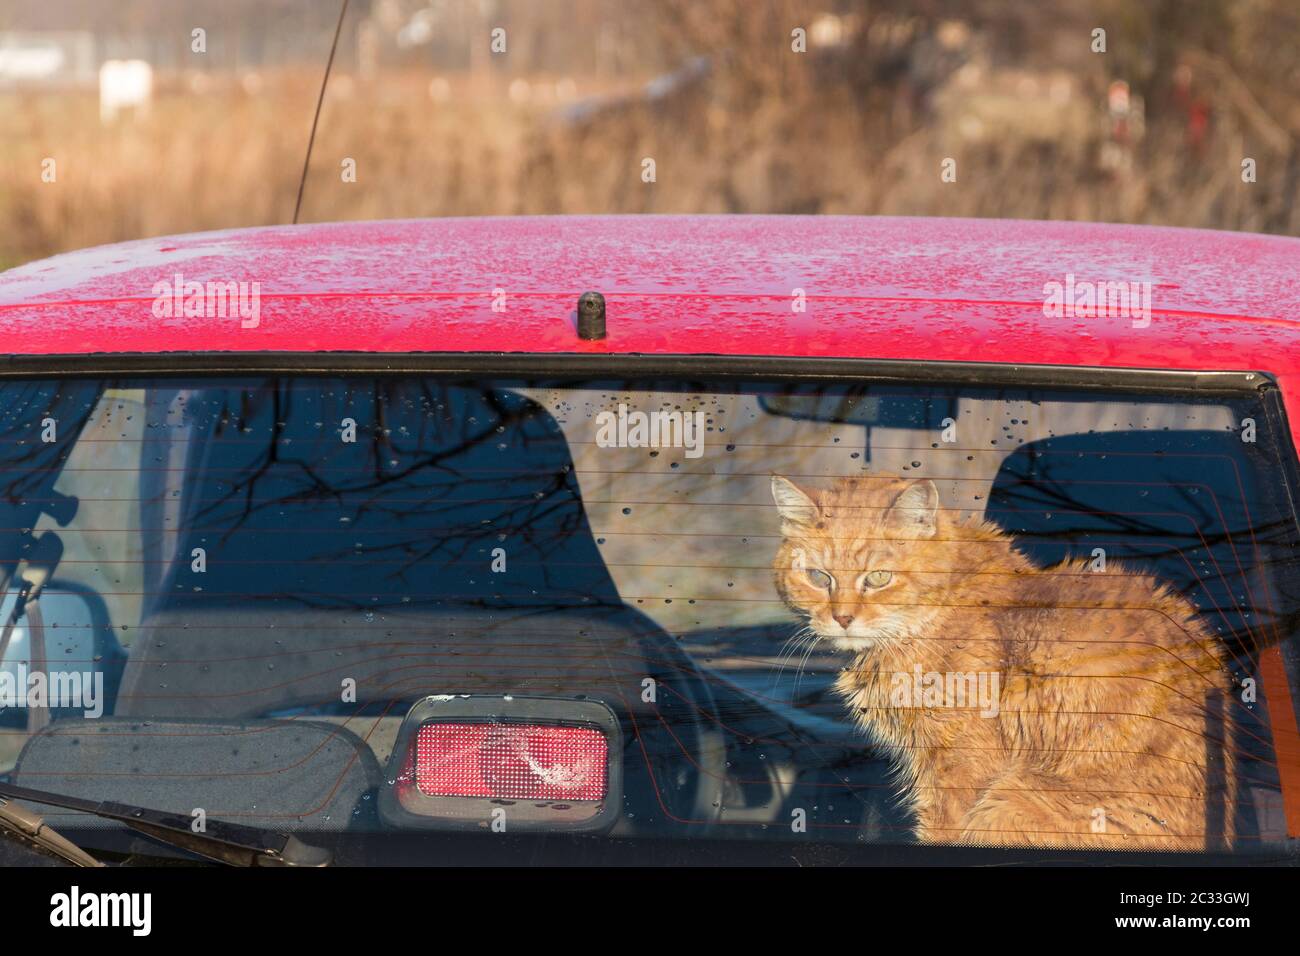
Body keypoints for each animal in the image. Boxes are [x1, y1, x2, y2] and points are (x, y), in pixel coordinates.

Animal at [769, 476, 1237, 848]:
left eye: (879, 578)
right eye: (818, 577)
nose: (843, 618)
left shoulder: (957, 771)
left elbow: (940, 833)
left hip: (1007, 802)